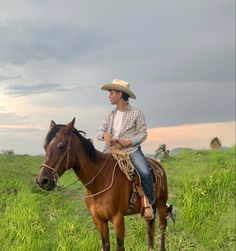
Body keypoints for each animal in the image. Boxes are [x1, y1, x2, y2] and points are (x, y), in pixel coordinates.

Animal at [36, 118, 169, 251]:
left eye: (61, 146)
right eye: (45, 147)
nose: (42, 180)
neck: (100, 182)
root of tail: (158, 165)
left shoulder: (118, 219)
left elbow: (120, 246)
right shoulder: (99, 220)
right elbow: (105, 245)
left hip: (161, 203)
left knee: (162, 226)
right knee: (150, 226)